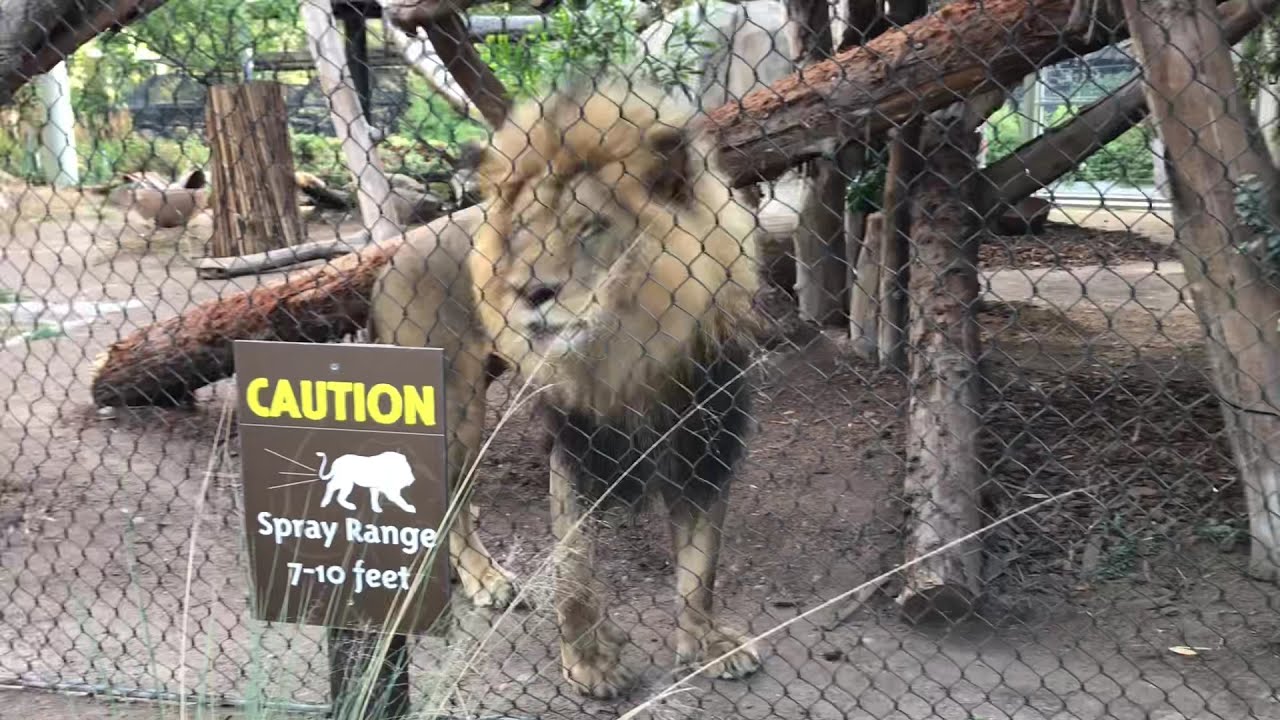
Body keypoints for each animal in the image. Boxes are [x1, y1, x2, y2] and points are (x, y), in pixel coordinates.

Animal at [368, 76, 763, 699]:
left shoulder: (707, 443)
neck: (632, 353)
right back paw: (482, 576)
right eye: (525, 232)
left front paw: (706, 644)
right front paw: (589, 662)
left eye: (591, 228)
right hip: (456, 413)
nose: (530, 291)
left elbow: (701, 566)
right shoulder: (576, 443)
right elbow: (575, 564)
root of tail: (392, 254)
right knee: (449, 501)